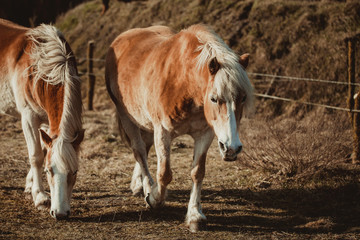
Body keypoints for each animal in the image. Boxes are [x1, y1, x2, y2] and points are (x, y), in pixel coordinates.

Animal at [0, 18, 83, 219]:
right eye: (49, 171)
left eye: (74, 171)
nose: (60, 214)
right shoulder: (29, 117)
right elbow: (36, 155)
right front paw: (39, 196)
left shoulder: (48, 122)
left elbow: (45, 149)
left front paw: (30, 185)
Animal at [105, 23, 255, 231]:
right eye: (214, 98)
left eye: (243, 98)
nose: (232, 148)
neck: (185, 84)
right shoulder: (163, 132)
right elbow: (164, 174)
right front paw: (154, 197)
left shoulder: (205, 134)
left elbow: (197, 172)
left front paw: (194, 215)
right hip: (127, 117)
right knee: (139, 151)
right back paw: (146, 186)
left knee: (145, 147)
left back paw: (138, 184)